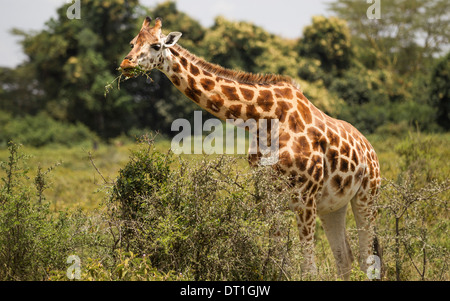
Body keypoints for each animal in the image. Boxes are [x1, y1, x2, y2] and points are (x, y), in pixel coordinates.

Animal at [118, 16, 380, 278]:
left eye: (156, 45)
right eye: (132, 43)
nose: (125, 63)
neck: (264, 118)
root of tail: (370, 149)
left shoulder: (304, 197)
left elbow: (308, 268)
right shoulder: (267, 197)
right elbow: (278, 259)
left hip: (367, 196)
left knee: (366, 256)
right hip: (333, 206)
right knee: (345, 258)